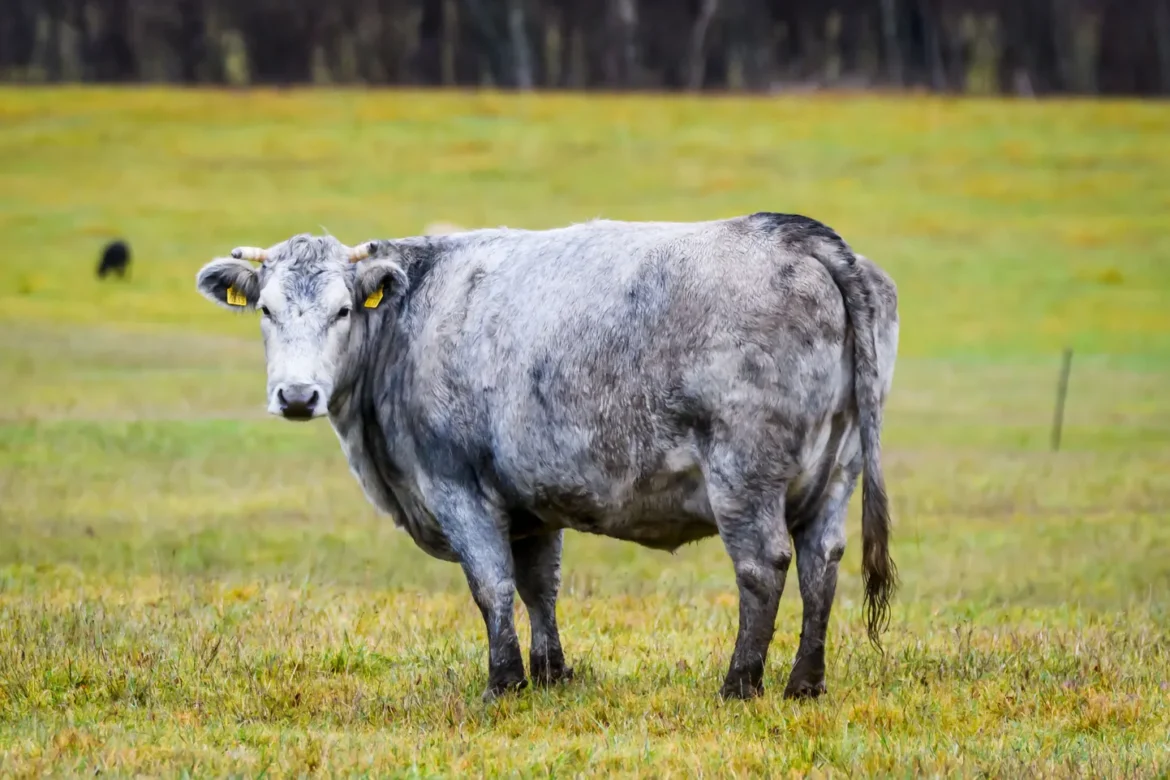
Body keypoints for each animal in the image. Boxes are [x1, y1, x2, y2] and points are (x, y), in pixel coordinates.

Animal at [194, 213, 899, 701]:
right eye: (266, 309)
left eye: (343, 310)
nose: (296, 395)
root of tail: (794, 234)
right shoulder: (531, 503)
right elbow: (540, 586)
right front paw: (551, 673)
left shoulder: (456, 486)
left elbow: (492, 585)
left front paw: (504, 683)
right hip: (836, 471)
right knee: (820, 563)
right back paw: (804, 683)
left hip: (743, 476)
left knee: (764, 566)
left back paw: (740, 684)